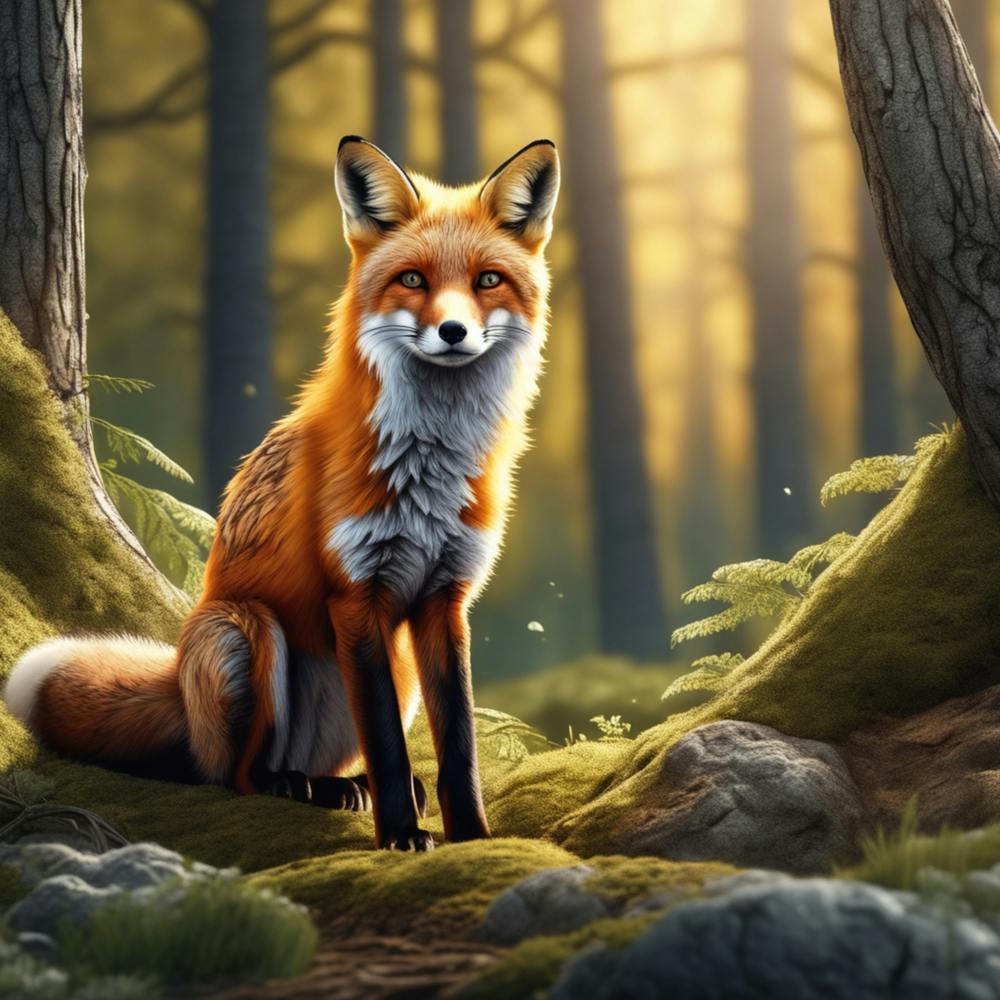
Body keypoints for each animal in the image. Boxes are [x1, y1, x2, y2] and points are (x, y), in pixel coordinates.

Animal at [4, 136, 560, 852]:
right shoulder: (356, 595)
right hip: (248, 630)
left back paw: (341, 786)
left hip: (390, 666)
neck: (430, 463)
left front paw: (473, 836)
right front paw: (401, 837)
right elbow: (386, 742)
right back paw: (299, 786)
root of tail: (178, 681)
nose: (454, 332)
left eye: (488, 281)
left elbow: (458, 744)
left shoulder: (445, 599)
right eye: (413, 280)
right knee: (235, 773)